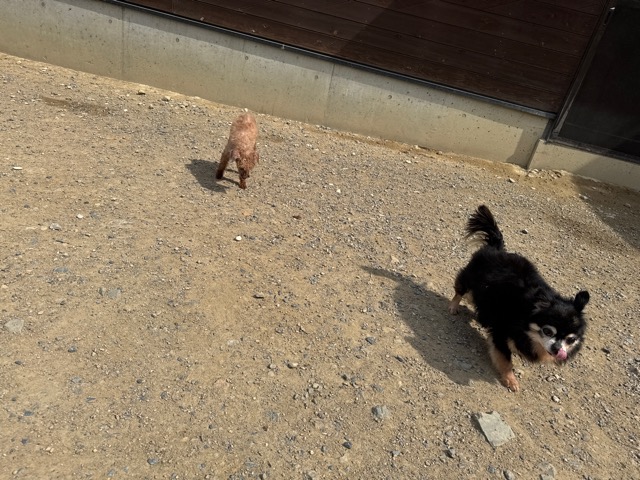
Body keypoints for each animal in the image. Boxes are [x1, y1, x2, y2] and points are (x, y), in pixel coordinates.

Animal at [448, 205, 589, 391]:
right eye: (547, 331)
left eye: (571, 339)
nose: (557, 348)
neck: (525, 316)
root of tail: (497, 248)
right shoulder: (501, 333)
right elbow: (506, 360)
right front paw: (511, 380)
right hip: (468, 280)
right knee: (460, 291)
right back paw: (453, 306)